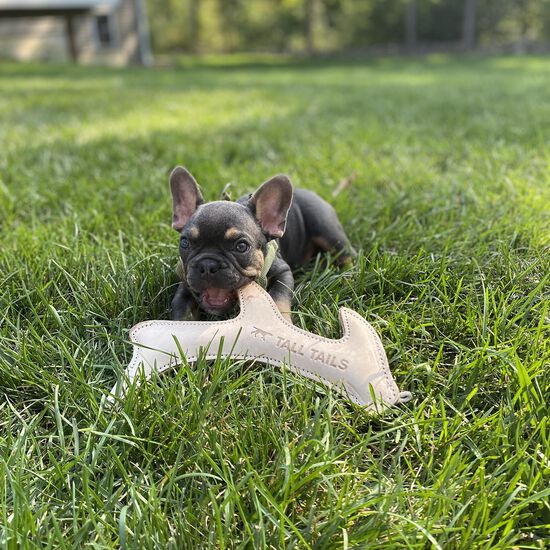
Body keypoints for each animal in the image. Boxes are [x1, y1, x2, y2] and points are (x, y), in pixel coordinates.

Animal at [170, 168, 356, 324]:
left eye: (241, 247)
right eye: (185, 243)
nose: (207, 265)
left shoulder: (283, 272)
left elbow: (278, 298)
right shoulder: (186, 282)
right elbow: (180, 307)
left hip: (327, 231)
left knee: (347, 254)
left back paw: (348, 275)